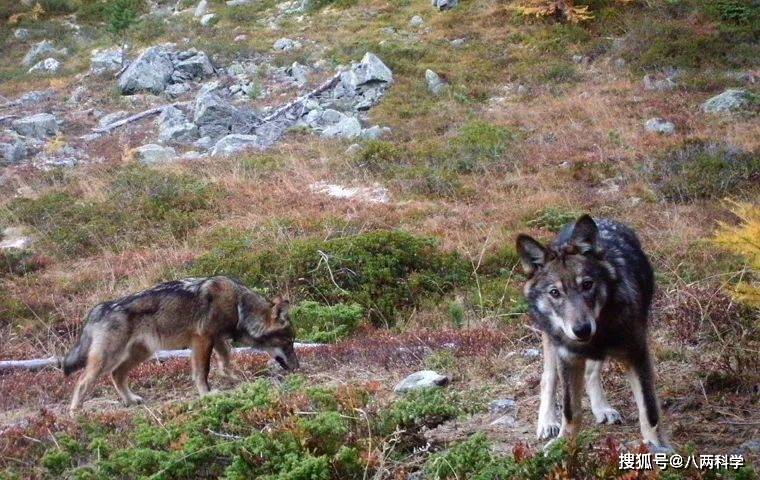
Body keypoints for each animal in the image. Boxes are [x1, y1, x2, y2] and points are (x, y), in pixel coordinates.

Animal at [63, 276, 300, 414]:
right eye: (288, 342)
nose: (298, 368)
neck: (238, 305)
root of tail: (99, 309)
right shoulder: (202, 338)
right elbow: (203, 371)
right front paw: (207, 395)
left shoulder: (217, 338)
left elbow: (226, 361)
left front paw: (234, 378)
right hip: (109, 358)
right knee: (82, 382)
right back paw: (75, 413)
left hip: (140, 354)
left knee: (117, 375)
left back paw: (131, 400)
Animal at [516, 216, 672, 448]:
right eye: (555, 292)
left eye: (587, 284)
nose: (582, 330)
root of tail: (601, 218)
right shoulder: (568, 358)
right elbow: (570, 412)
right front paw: (563, 447)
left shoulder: (637, 355)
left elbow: (649, 410)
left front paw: (655, 447)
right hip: (551, 341)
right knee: (548, 378)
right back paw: (547, 422)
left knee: (591, 372)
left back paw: (602, 409)